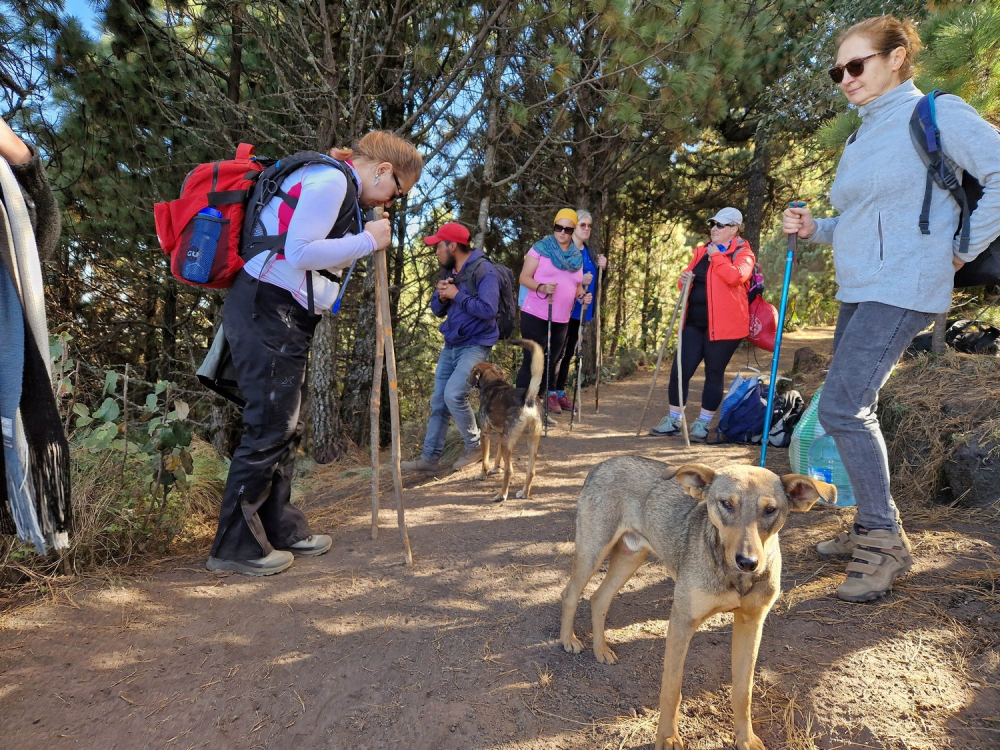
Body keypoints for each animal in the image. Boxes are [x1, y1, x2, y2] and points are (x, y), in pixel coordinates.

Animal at [468, 339, 544, 502]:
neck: (493, 383)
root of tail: (528, 398)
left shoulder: (485, 434)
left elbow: (485, 460)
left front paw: (482, 475)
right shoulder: (501, 434)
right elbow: (497, 457)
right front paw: (496, 469)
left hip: (509, 442)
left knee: (509, 470)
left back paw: (502, 495)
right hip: (530, 441)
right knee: (531, 471)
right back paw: (524, 493)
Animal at [559, 456, 835, 750]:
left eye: (770, 509)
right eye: (726, 504)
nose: (748, 562)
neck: (733, 578)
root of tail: (605, 463)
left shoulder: (751, 623)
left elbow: (743, 691)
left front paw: (745, 738)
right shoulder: (681, 621)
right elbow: (672, 689)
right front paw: (667, 737)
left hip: (629, 557)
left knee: (598, 598)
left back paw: (601, 649)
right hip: (593, 551)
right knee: (570, 594)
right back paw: (568, 640)